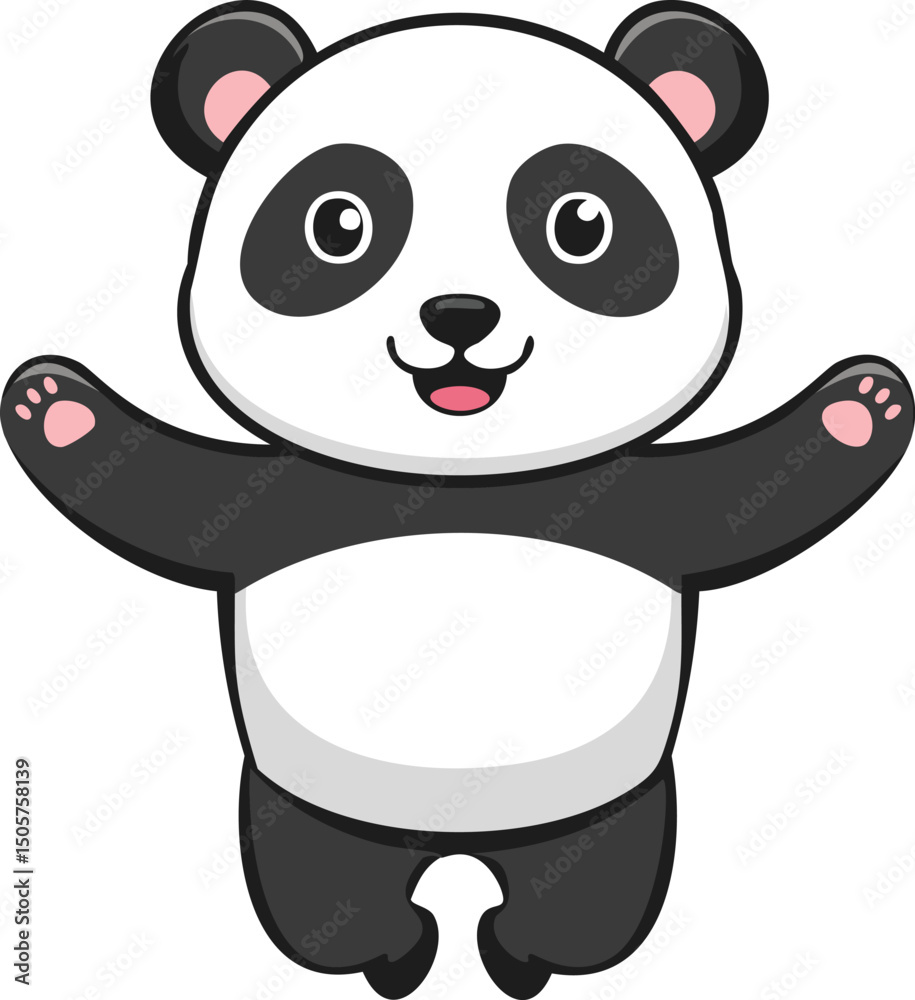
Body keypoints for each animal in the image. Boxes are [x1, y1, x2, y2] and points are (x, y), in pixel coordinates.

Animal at [3, 3, 913, 998]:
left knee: (590, 893)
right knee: (326, 895)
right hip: (308, 804)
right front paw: (54, 407)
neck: (459, 478)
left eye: (579, 224)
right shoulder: (280, 500)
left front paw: (860, 406)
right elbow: (165, 494)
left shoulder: (630, 501)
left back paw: (522, 952)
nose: (459, 315)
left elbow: (742, 493)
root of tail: (459, 845)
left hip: (605, 804)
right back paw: (392, 951)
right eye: (338, 224)